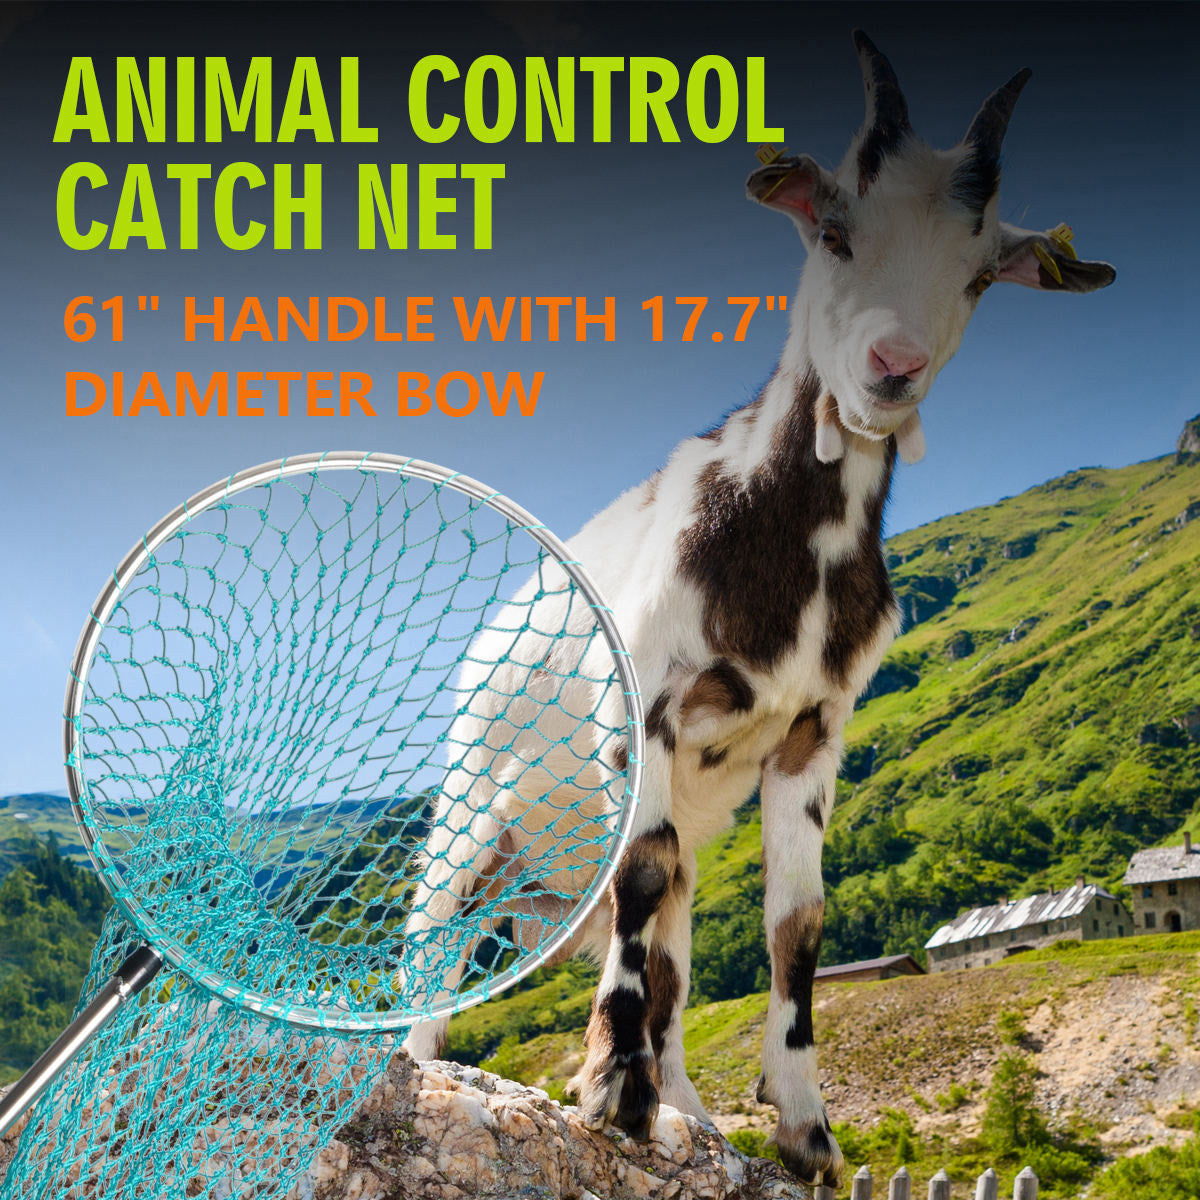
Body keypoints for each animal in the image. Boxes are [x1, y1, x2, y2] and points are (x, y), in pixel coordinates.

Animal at [403, 31, 1114, 1187]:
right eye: (833, 230)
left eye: (977, 274)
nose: (892, 370)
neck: (783, 547)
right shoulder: (641, 707)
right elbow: (642, 878)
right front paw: (615, 1092)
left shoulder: (813, 734)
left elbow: (795, 925)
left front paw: (801, 1132)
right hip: (474, 801)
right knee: (438, 930)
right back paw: (424, 1062)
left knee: (671, 957)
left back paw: (693, 1110)